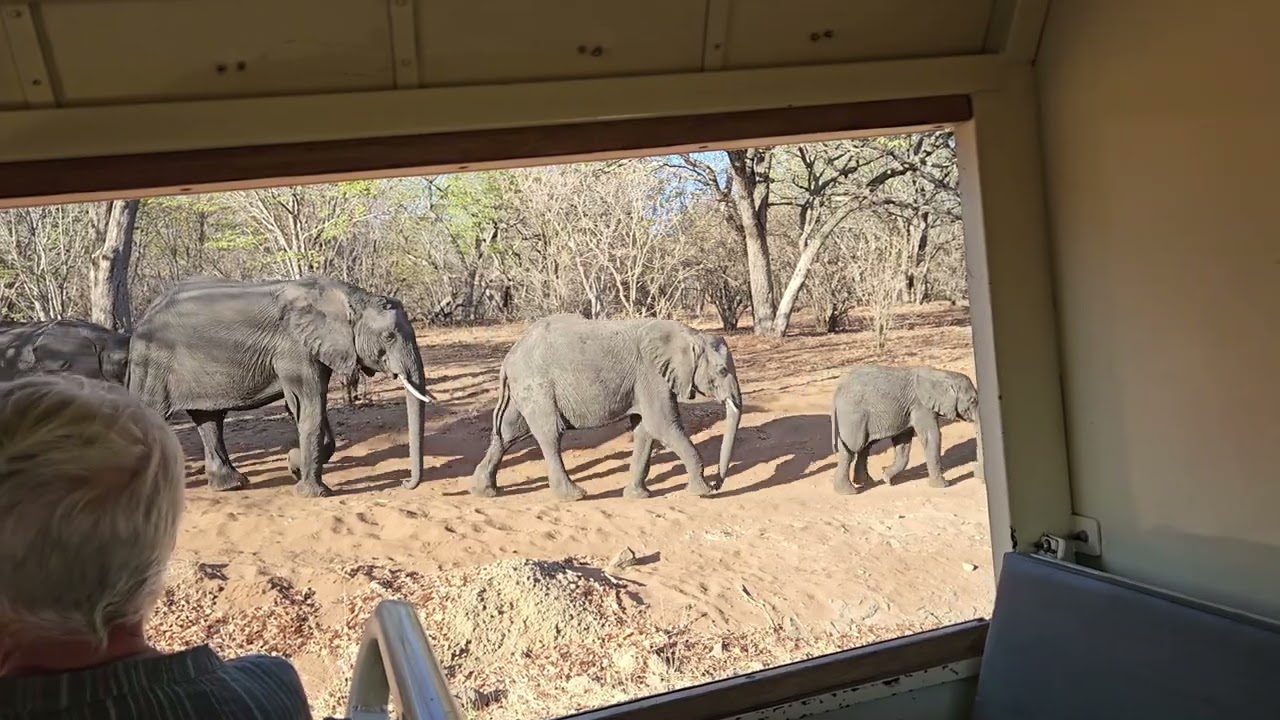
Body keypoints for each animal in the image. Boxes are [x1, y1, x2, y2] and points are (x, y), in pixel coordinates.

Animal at [127, 276, 436, 498]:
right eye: (389, 336)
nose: (405, 482)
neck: (347, 297)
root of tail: (145, 315)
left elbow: (311, 409)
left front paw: (293, 465)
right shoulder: (294, 348)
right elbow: (308, 406)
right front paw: (313, 493)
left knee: (209, 420)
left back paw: (232, 485)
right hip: (152, 364)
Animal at [471, 314, 743, 501]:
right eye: (722, 371)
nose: (717, 483)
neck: (688, 335)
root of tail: (509, 357)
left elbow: (645, 429)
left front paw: (638, 496)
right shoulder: (650, 374)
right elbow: (661, 424)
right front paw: (703, 492)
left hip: (525, 387)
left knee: (508, 433)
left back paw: (484, 491)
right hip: (538, 385)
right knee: (550, 434)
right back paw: (574, 496)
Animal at [830, 364, 979, 494]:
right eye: (973, 401)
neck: (942, 374)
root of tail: (837, 391)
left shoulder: (908, 410)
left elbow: (903, 442)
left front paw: (886, 478)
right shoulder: (921, 407)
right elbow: (932, 436)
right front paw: (943, 486)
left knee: (865, 447)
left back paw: (865, 482)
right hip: (853, 416)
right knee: (852, 448)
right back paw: (848, 492)